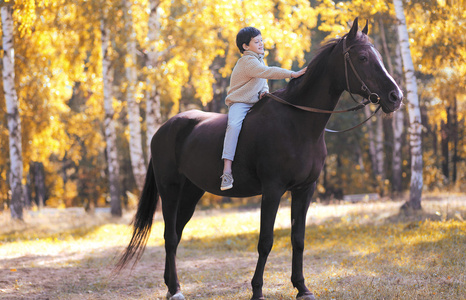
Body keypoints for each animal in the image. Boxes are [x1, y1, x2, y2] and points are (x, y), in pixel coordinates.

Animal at [117, 18, 404, 300]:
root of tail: (164, 128)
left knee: (175, 234)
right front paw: (257, 291)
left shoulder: (305, 190)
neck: (298, 122)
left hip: (191, 192)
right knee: (170, 236)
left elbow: (298, 239)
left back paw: (171, 287)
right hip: (170, 191)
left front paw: (302, 288)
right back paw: (175, 289)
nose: (396, 97)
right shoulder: (273, 190)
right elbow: (265, 241)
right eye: (363, 57)